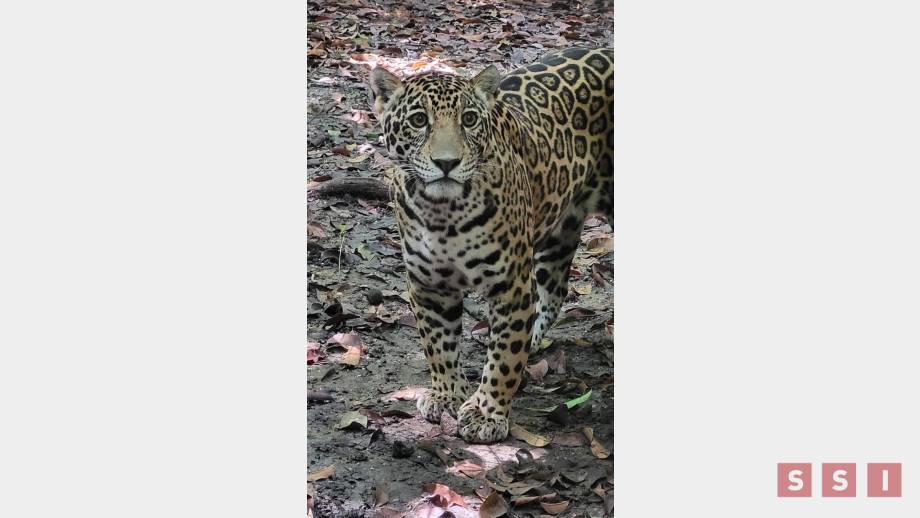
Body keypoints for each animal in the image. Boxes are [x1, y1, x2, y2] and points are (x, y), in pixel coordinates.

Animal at [368, 48, 613, 443]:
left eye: (468, 119)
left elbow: (504, 357)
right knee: (554, 292)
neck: (443, 214)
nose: (447, 163)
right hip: (559, 231)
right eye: (419, 120)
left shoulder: (510, 286)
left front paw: (487, 413)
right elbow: (438, 344)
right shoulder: (428, 285)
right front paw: (447, 395)